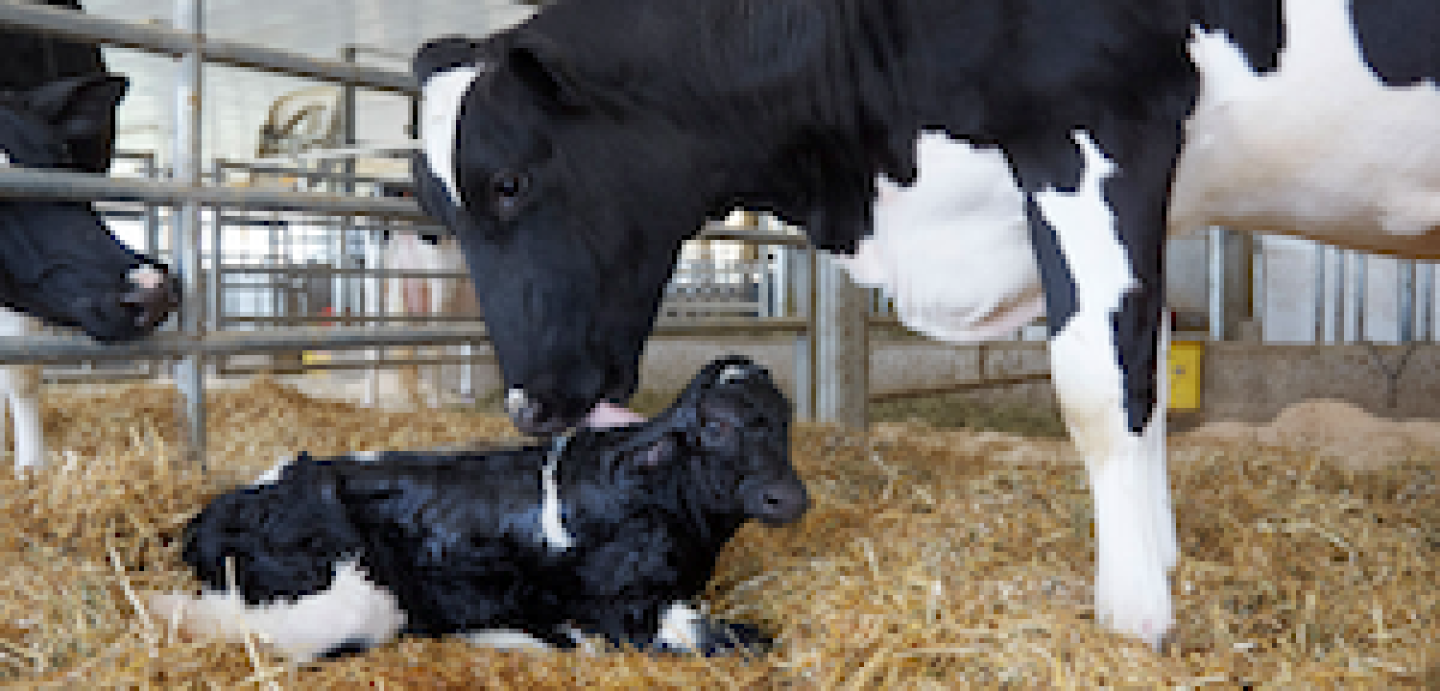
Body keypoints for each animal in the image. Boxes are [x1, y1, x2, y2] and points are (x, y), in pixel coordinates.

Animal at [144, 356, 806, 663]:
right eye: (714, 425)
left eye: (785, 420)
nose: (791, 496)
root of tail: (215, 512)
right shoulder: (620, 611)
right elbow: (739, 637)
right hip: (353, 599)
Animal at [407, 0, 1440, 649]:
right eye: (433, 209)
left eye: (510, 181)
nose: (529, 407)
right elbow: (1139, 367)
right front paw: (1161, 558)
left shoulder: (1093, 129)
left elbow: (1098, 385)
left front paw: (1133, 613)